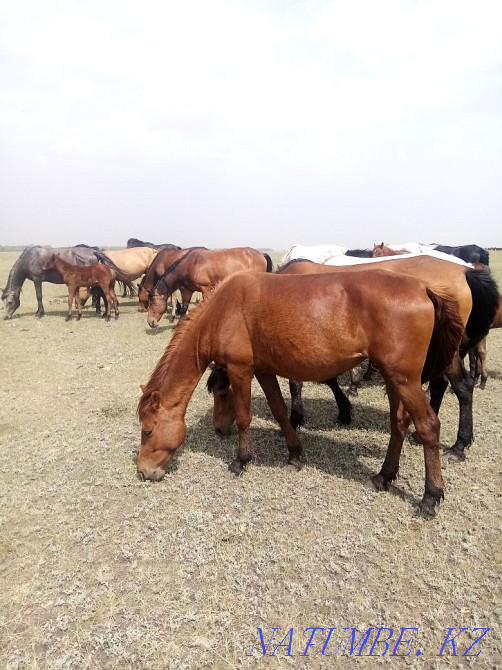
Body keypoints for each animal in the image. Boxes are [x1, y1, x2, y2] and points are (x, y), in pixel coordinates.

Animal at [137, 269, 468, 516]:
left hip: (405, 380)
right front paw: (294, 454)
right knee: (398, 425)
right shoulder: (264, 370)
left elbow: (245, 418)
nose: (143, 472)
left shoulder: (241, 369)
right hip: (394, 378)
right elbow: (280, 412)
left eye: (148, 431)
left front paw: (241, 460)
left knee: (428, 427)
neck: (223, 308)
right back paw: (384, 476)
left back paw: (430, 496)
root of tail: (423, 287)